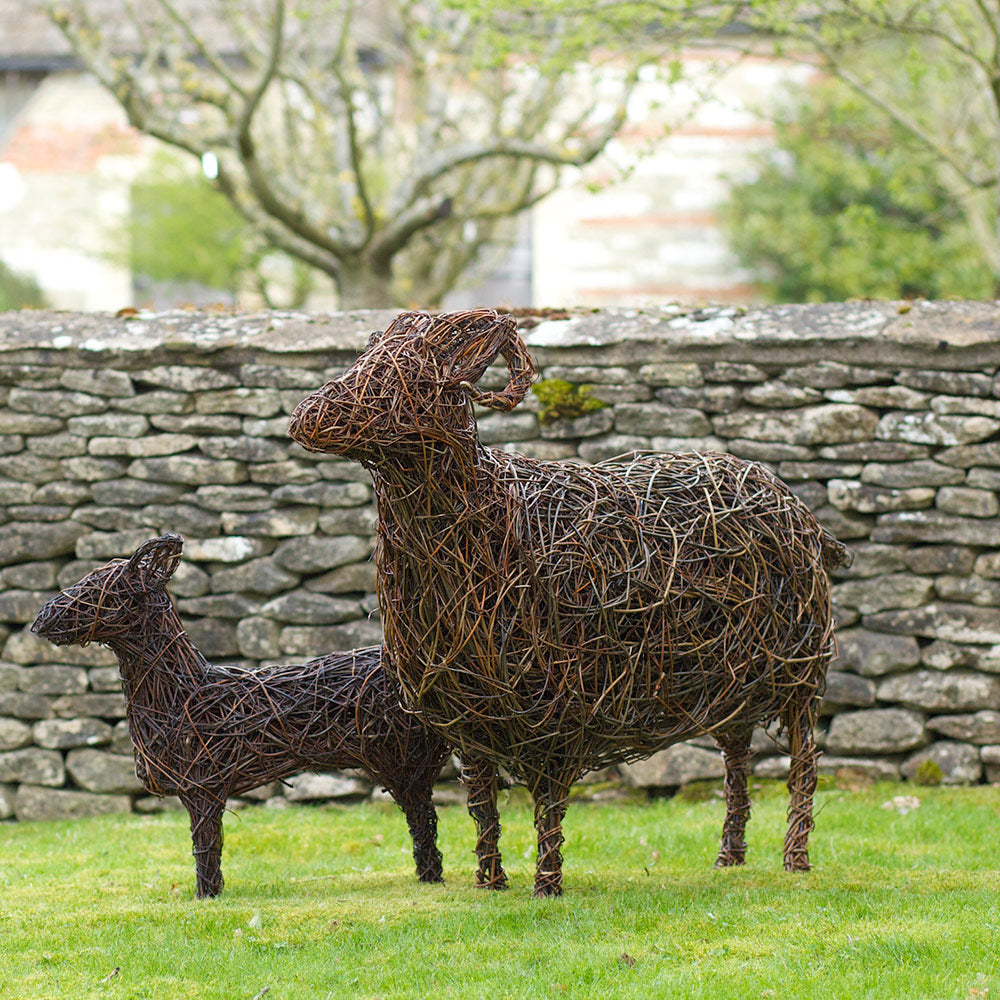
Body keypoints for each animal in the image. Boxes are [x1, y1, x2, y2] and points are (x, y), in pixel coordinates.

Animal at [30, 533, 471, 898]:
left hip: (402, 761)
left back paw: (431, 879)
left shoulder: (203, 785)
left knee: (423, 820)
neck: (180, 691)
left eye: (95, 589)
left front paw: (206, 896)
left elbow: (205, 846)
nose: (40, 620)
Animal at [288, 308, 851, 897]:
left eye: (409, 375)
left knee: (804, 763)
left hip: (801, 675)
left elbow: (549, 805)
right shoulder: (469, 719)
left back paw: (795, 859)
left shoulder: (560, 713)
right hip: (730, 684)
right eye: (365, 358)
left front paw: (546, 886)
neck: (488, 518)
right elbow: (482, 804)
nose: (310, 417)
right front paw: (490, 882)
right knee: (737, 757)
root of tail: (799, 510)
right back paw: (730, 858)